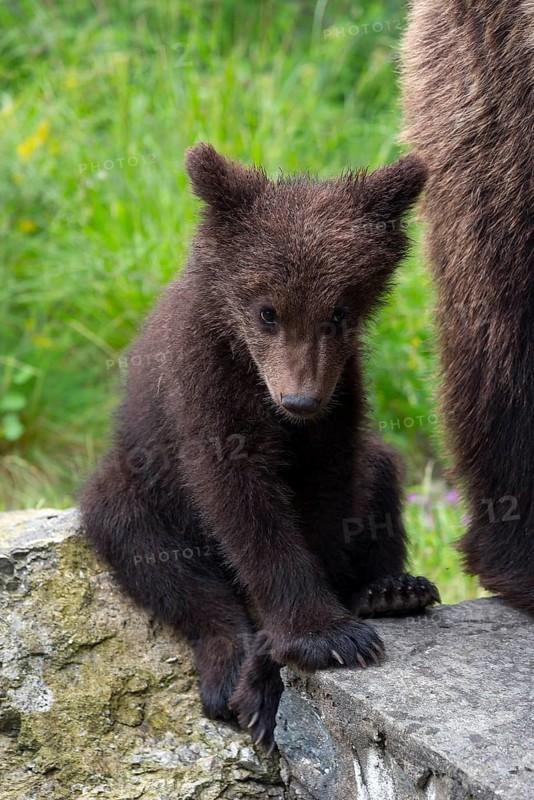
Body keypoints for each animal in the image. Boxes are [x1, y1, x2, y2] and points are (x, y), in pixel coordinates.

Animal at [80, 143, 439, 752]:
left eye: (338, 311)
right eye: (268, 310)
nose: (299, 398)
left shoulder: (339, 402)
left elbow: (326, 495)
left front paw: (292, 657)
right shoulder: (205, 385)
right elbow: (243, 505)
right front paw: (321, 638)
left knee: (381, 476)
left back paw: (392, 589)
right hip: (140, 480)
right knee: (149, 549)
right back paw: (228, 664)